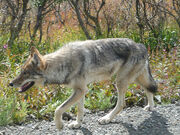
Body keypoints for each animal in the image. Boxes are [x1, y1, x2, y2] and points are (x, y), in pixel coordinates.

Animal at [9, 38, 157, 130]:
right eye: (21, 71)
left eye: (25, 73)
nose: (10, 84)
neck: (62, 64)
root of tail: (141, 45)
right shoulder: (80, 90)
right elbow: (79, 109)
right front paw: (77, 124)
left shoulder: (80, 90)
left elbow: (58, 109)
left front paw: (59, 125)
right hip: (135, 78)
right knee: (149, 89)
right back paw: (150, 107)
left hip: (120, 81)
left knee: (122, 104)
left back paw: (106, 119)